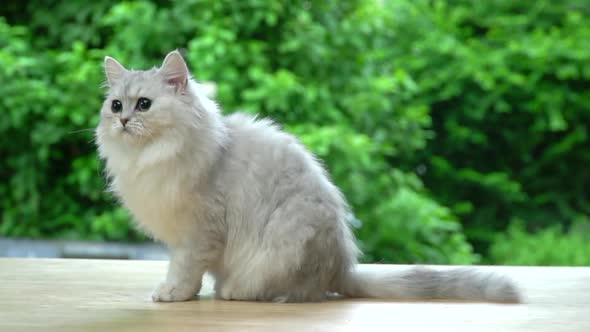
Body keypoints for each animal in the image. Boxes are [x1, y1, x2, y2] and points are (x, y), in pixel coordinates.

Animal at [96, 50, 524, 304]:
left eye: (144, 104)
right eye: (116, 105)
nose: (123, 120)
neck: (149, 158)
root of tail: (343, 268)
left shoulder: (199, 232)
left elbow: (185, 272)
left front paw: (172, 293)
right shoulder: (183, 233)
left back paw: (238, 292)